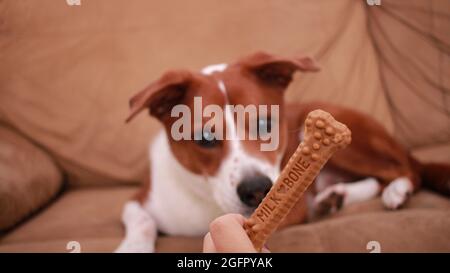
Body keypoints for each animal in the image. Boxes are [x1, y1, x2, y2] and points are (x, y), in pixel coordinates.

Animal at [117, 50, 450, 251]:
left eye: (265, 123)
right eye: (205, 138)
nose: (257, 190)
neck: (206, 202)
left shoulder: (292, 210)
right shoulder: (141, 198)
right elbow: (140, 220)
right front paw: (132, 246)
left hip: (349, 141)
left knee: (406, 170)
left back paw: (396, 191)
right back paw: (334, 197)